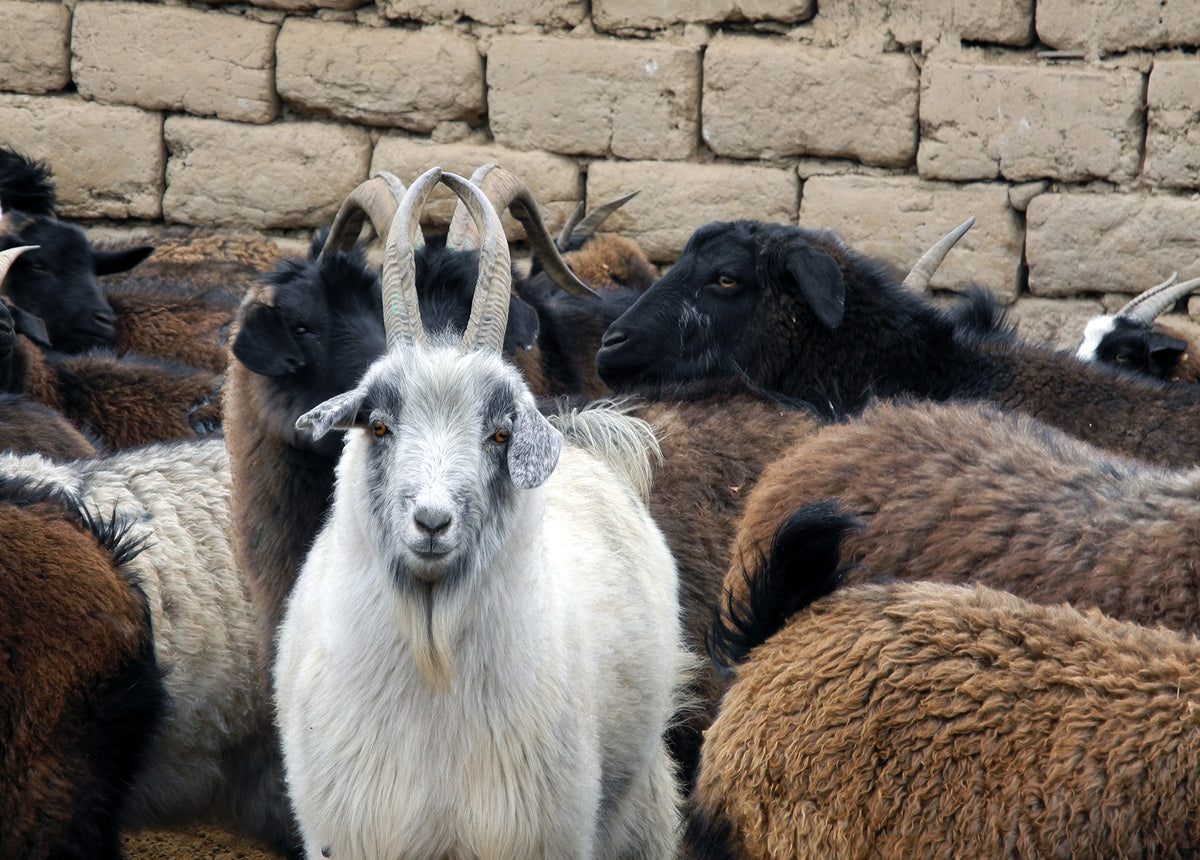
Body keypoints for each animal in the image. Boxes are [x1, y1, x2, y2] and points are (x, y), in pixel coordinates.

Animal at [275, 167, 686, 860]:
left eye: (499, 432)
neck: (434, 664)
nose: (432, 522)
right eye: (378, 424)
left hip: (640, 799)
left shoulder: (532, 830)